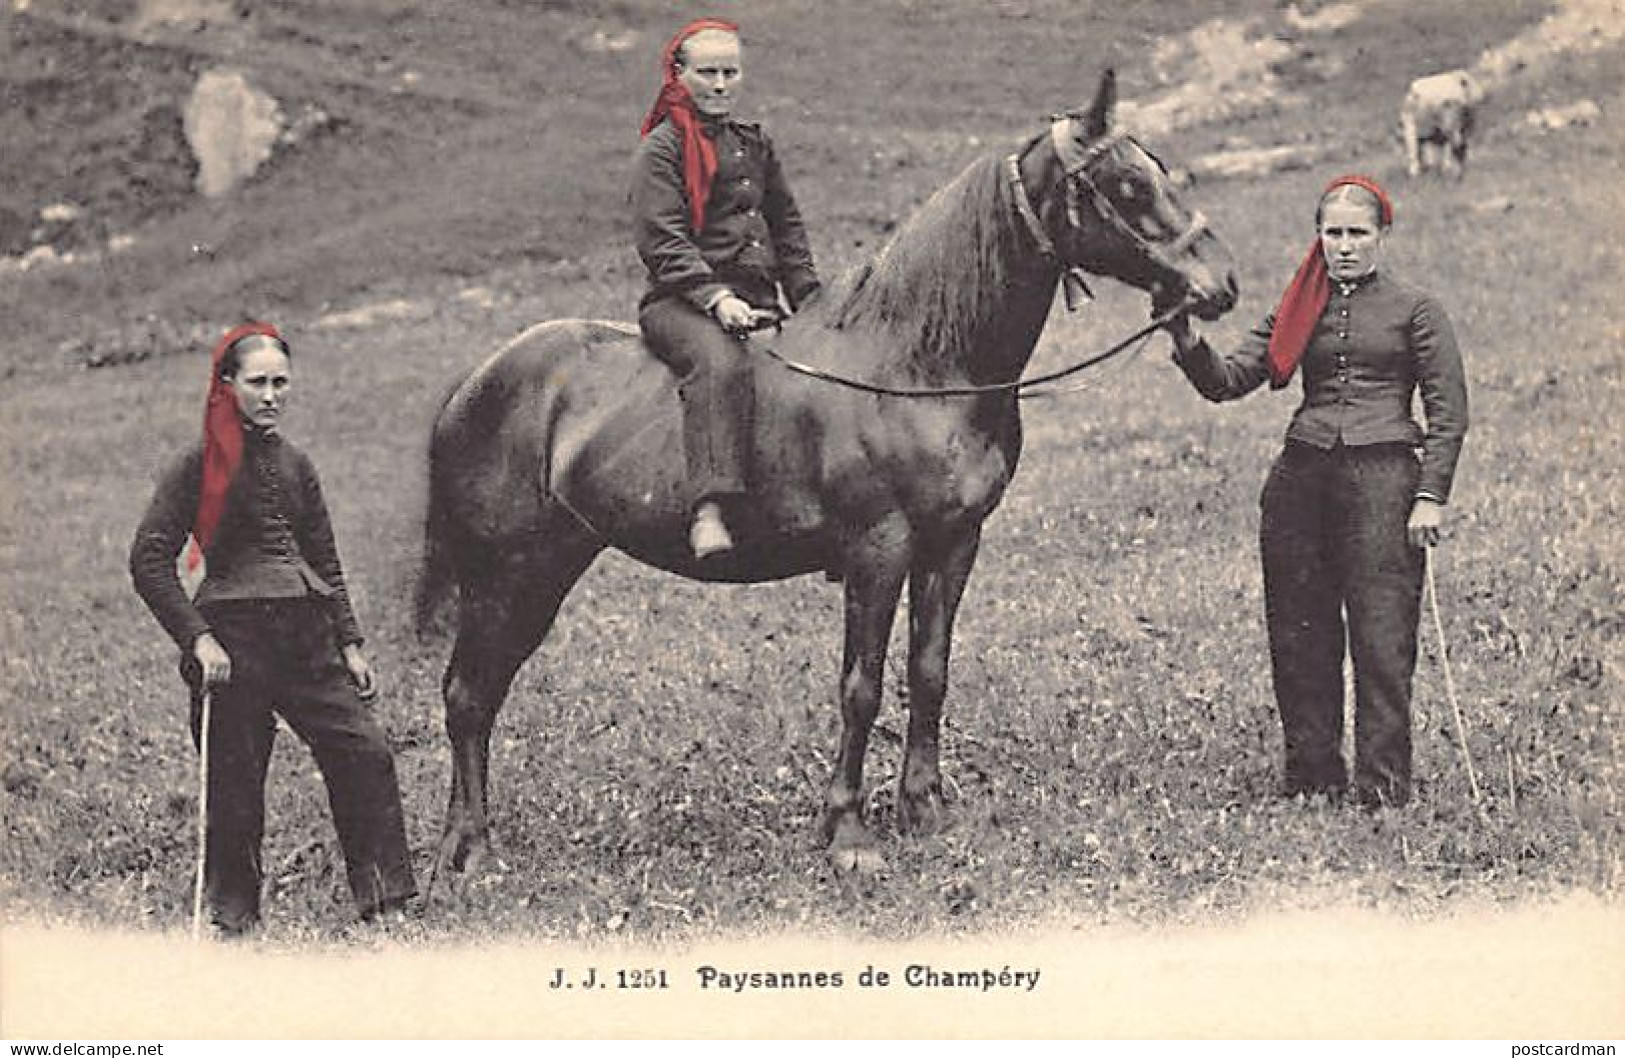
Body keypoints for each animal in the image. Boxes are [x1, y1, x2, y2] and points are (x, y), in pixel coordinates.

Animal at [416, 70, 1228, 884]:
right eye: (1127, 184)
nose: (1220, 285)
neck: (914, 366)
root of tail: (473, 382)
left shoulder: (953, 543)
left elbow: (928, 669)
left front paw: (923, 808)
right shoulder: (878, 549)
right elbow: (860, 687)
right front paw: (847, 830)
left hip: (547, 568)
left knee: (480, 694)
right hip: (506, 575)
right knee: (466, 695)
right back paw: (469, 847)